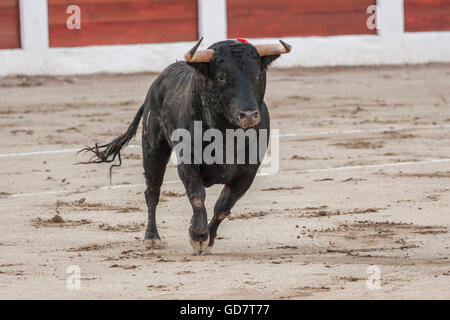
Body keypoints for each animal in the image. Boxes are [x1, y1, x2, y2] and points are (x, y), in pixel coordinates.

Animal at [80, 38, 292, 254]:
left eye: (257, 75)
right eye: (222, 76)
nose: (248, 115)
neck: (227, 134)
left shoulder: (248, 172)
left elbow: (223, 205)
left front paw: (207, 239)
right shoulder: (187, 161)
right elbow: (197, 195)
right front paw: (198, 236)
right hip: (153, 149)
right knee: (152, 191)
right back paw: (152, 238)